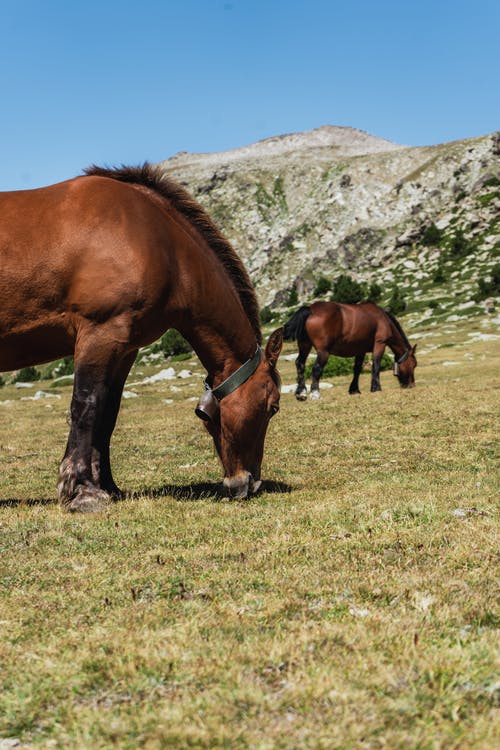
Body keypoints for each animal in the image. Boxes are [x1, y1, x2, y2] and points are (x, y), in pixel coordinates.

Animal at [0, 165, 282, 516]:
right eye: (273, 407)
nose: (249, 483)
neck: (159, 240)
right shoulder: (99, 334)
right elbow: (86, 407)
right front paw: (81, 490)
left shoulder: (124, 349)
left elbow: (107, 414)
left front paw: (107, 486)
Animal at [284, 302, 416, 402]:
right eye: (414, 365)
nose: (411, 385)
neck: (382, 318)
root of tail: (310, 309)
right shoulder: (380, 344)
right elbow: (376, 364)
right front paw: (376, 388)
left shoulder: (360, 350)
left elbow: (357, 369)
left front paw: (354, 389)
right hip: (323, 351)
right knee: (316, 368)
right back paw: (315, 394)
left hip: (305, 345)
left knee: (300, 363)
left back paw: (301, 393)